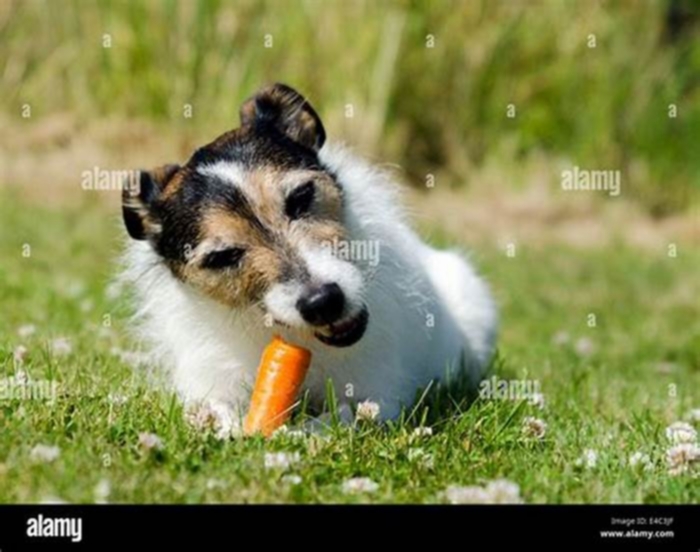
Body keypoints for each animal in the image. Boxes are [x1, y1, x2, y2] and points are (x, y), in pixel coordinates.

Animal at [119, 83, 498, 436]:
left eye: (301, 197)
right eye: (222, 256)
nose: (323, 302)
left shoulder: (380, 394)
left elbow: (342, 415)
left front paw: (298, 434)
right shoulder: (209, 382)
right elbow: (212, 408)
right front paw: (226, 427)